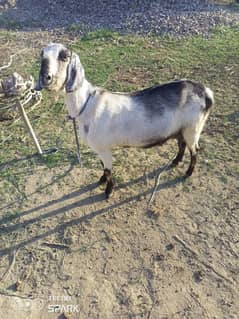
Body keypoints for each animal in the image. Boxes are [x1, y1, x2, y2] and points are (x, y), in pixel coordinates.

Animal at [36, 42, 215, 198]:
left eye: (64, 56)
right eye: (42, 54)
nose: (46, 77)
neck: (86, 104)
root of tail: (205, 92)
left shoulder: (104, 148)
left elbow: (108, 170)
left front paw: (108, 191)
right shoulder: (101, 148)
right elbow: (103, 167)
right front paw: (101, 181)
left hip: (193, 129)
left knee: (195, 150)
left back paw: (187, 173)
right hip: (181, 129)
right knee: (182, 144)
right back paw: (175, 162)